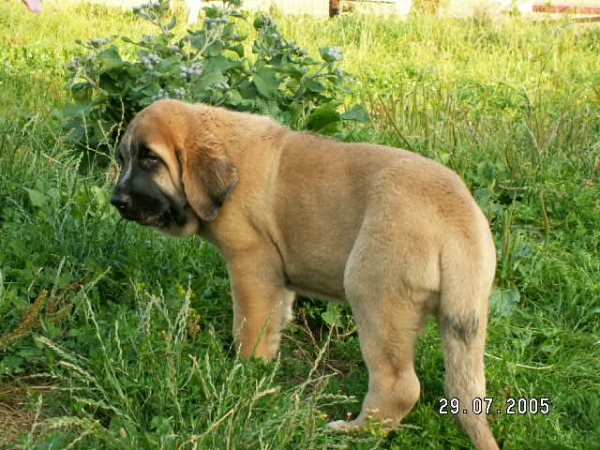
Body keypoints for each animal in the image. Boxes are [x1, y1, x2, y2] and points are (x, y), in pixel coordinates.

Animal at [110, 99, 500, 450]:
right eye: (124, 158)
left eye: (150, 159)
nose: (117, 201)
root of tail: (455, 213)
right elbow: (273, 320)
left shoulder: (251, 263)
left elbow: (249, 327)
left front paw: (246, 374)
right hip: (467, 316)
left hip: (373, 294)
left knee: (399, 384)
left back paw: (353, 433)